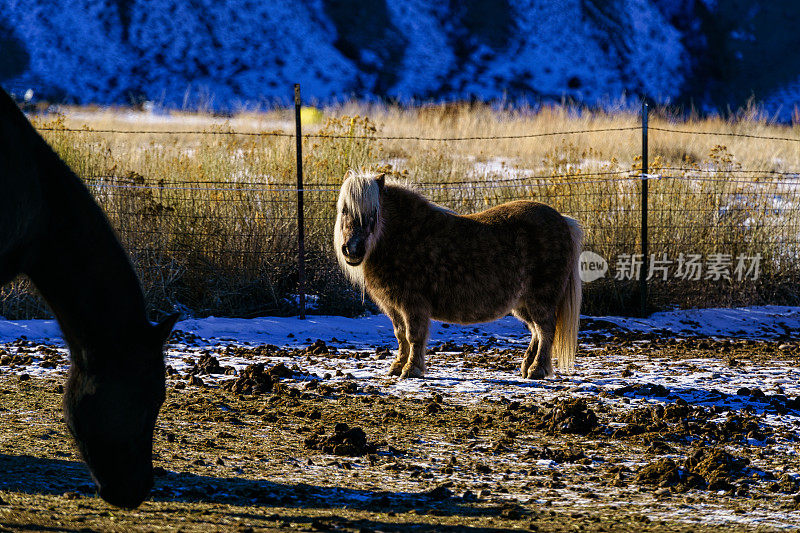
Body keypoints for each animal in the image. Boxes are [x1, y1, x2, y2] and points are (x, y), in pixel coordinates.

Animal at [332, 170, 580, 378]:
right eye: (344, 210)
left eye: (373, 213)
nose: (352, 249)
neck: (404, 235)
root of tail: (563, 220)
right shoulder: (393, 306)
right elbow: (400, 336)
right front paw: (397, 367)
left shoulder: (413, 304)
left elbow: (414, 336)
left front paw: (412, 370)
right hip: (522, 304)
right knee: (536, 332)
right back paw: (527, 366)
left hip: (541, 299)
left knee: (545, 329)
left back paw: (537, 370)